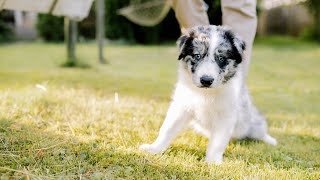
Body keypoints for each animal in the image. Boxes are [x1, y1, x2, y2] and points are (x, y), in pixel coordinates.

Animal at [140, 25, 278, 165]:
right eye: (197, 56)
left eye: (221, 58)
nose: (206, 80)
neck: (205, 94)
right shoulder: (181, 107)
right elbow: (167, 129)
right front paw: (154, 148)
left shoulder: (226, 115)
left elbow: (217, 143)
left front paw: (213, 162)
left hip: (248, 122)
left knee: (258, 130)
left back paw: (270, 140)